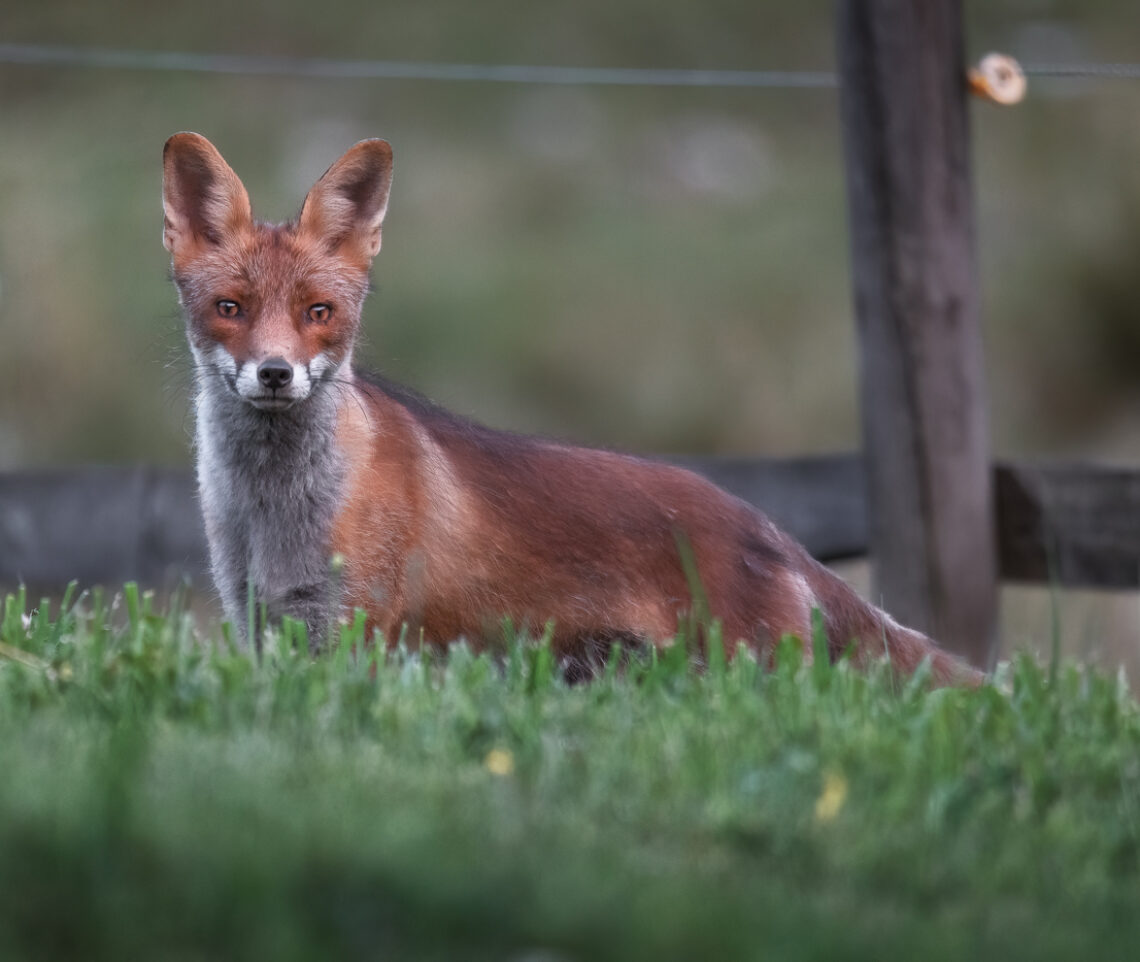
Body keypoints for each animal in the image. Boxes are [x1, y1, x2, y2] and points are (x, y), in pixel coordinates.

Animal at [160, 133, 980, 683]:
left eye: (319, 313)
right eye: (230, 309)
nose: (275, 373)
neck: (271, 512)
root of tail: (770, 531)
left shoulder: (354, 635)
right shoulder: (263, 626)